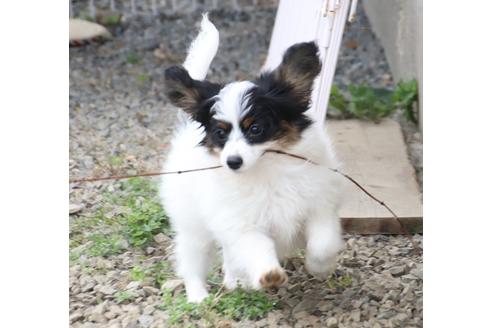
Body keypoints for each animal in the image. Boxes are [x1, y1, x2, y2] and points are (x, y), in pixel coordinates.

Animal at [160, 14, 342, 302]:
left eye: (255, 129)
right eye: (220, 134)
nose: (232, 162)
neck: (267, 169)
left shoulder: (320, 206)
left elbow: (323, 243)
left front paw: (320, 268)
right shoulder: (242, 224)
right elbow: (258, 246)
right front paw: (269, 275)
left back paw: (236, 279)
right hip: (193, 226)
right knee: (192, 258)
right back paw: (198, 296)